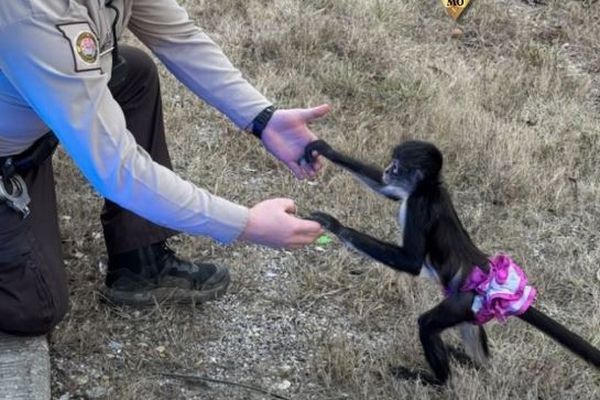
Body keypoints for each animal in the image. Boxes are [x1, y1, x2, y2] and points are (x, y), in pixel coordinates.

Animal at [302, 140, 600, 384]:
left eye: (396, 166)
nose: (387, 169)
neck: (429, 190)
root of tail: (488, 273)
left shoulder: (419, 206)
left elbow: (410, 262)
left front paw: (335, 225)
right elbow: (389, 191)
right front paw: (325, 149)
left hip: (462, 302)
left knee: (427, 324)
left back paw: (438, 382)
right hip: (471, 307)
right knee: (470, 332)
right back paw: (475, 364)